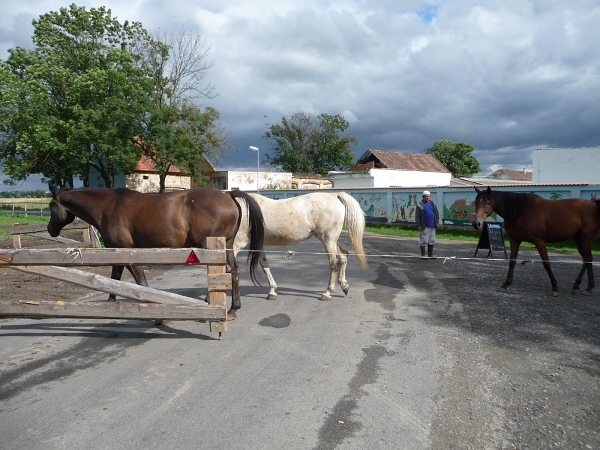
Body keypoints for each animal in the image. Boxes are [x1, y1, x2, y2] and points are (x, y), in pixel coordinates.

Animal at [47, 185, 262, 318]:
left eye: (51, 206)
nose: (50, 229)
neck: (108, 207)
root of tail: (228, 195)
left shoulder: (128, 252)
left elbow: (140, 282)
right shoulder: (117, 251)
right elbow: (115, 277)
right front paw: (110, 303)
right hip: (226, 246)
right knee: (234, 272)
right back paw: (232, 308)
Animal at [233, 192, 366, 300]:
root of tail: (334, 195)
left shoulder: (236, 244)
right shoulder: (258, 245)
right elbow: (265, 266)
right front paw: (272, 292)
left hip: (328, 240)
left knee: (334, 265)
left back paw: (327, 293)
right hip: (330, 240)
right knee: (343, 256)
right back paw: (344, 286)